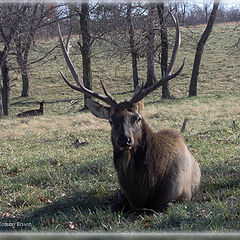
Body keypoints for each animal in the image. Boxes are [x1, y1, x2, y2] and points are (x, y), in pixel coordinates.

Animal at [57, 14, 201, 211]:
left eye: (137, 118)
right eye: (111, 120)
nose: (124, 140)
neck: (140, 194)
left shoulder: (182, 195)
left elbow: (166, 204)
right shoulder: (121, 195)